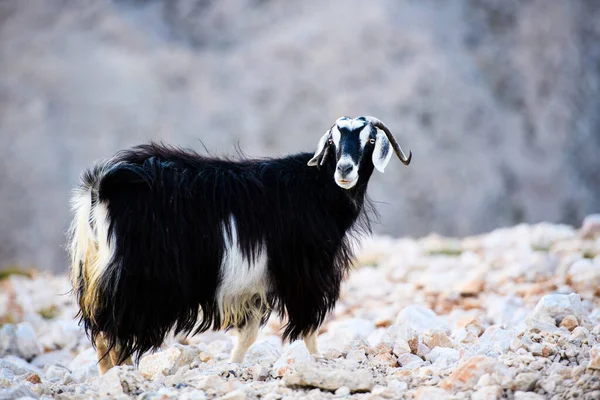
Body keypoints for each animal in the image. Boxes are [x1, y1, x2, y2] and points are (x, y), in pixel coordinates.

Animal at [68, 116, 410, 376]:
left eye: (369, 141)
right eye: (332, 142)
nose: (345, 170)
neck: (315, 189)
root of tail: (101, 187)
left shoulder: (255, 285)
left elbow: (248, 335)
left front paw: (232, 366)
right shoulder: (304, 274)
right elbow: (309, 327)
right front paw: (318, 361)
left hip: (98, 274)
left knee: (103, 333)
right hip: (137, 282)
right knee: (113, 333)